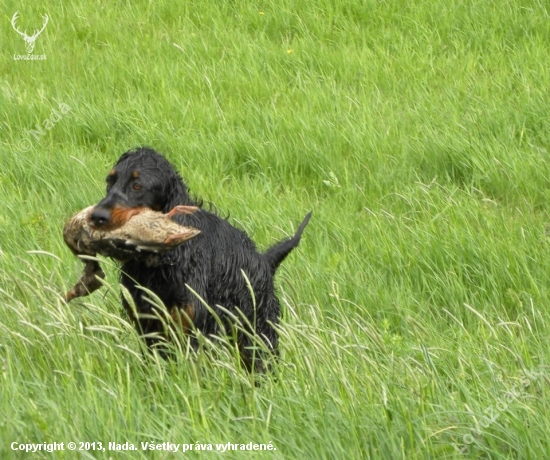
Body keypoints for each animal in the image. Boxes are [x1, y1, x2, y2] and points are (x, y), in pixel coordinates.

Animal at [89, 147, 312, 370]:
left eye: (137, 185)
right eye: (110, 181)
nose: (97, 216)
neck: (160, 265)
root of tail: (265, 261)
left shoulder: (195, 330)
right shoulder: (148, 328)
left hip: (256, 333)